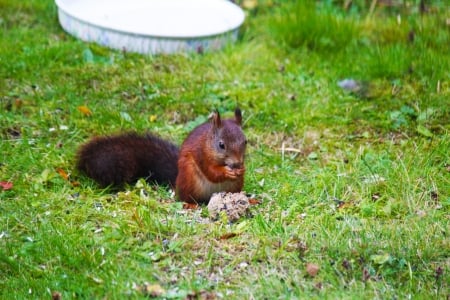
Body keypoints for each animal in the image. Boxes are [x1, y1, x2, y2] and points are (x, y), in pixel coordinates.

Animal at [76, 109, 248, 205]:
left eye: (245, 141)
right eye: (221, 145)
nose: (237, 163)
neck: (208, 143)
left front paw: (242, 169)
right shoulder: (200, 154)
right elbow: (211, 172)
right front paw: (226, 171)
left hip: (234, 187)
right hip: (189, 178)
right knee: (184, 198)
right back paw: (190, 205)